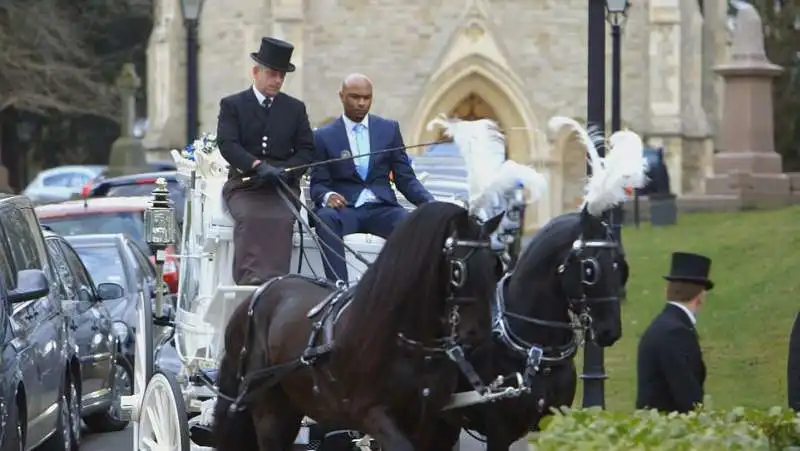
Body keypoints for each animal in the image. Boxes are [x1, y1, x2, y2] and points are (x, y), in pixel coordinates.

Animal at [209, 203, 504, 450]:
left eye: (496, 266)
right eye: (458, 270)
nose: (479, 334)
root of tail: (261, 291)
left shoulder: (429, 421)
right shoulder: (371, 413)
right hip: (268, 408)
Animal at [428, 206, 628, 451]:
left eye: (619, 265)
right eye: (590, 269)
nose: (610, 331)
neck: (536, 351)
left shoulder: (551, 421)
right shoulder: (498, 433)